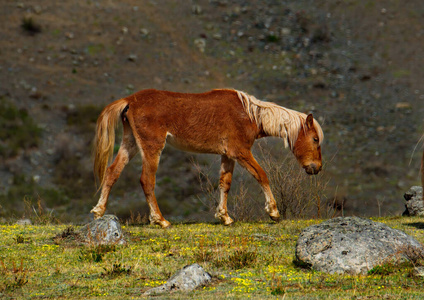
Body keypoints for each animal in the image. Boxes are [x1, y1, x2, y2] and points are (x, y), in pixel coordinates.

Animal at [91, 88, 322, 227]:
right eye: (315, 139)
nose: (316, 167)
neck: (249, 115)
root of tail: (130, 100)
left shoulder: (228, 156)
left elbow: (224, 184)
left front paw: (224, 216)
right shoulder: (241, 152)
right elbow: (262, 175)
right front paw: (273, 212)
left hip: (130, 143)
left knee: (112, 172)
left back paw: (99, 211)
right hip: (152, 147)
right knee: (147, 180)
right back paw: (161, 220)